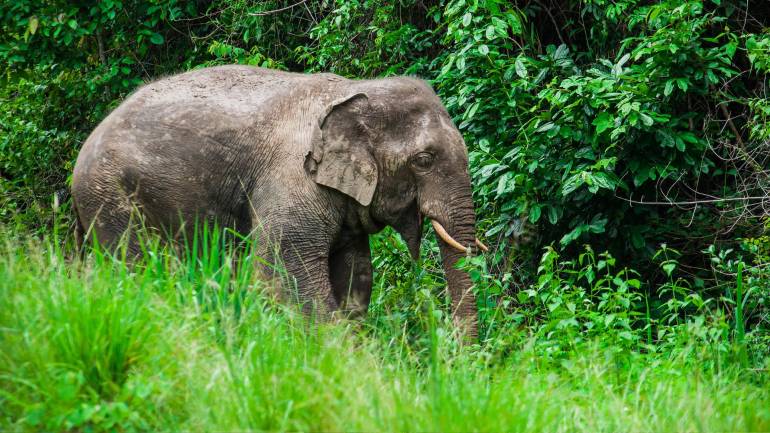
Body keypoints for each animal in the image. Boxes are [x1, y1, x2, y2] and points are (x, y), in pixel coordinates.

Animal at [69, 66, 484, 338]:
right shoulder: (290, 179)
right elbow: (285, 277)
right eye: (424, 160)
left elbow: (355, 279)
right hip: (112, 198)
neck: (356, 91)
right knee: (135, 273)